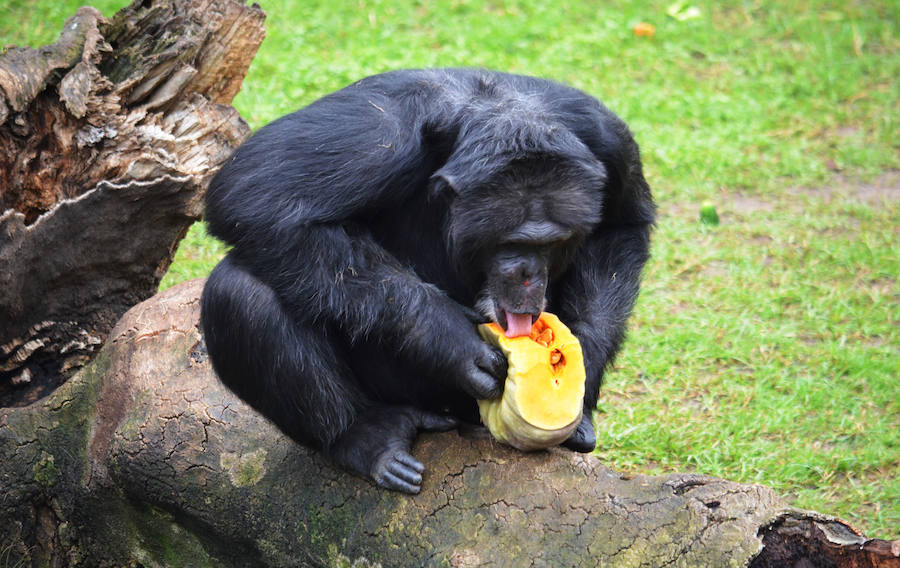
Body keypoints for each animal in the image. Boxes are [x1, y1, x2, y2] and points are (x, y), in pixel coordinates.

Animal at [200, 67, 652, 492]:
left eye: (553, 243)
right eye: (511, 241)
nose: (527, 275)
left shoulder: (609, 140)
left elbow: (622, 224)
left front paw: (582, 359)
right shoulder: (378, 130)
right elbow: (258, 193)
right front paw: (450, 338)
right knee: (240, 290)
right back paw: (368, 436)